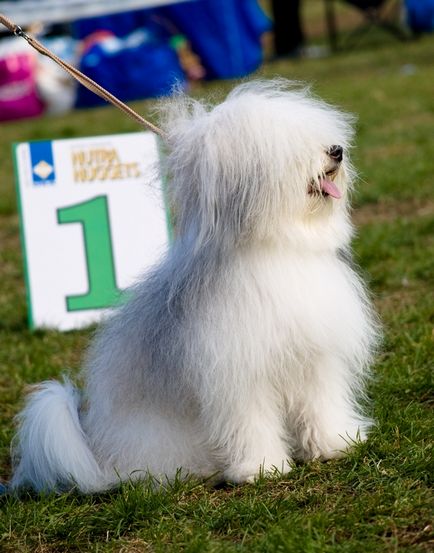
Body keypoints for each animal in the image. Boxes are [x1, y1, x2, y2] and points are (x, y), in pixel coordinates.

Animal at [9, 78, 380, 492]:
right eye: (288, 147)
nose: (337, 151)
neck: (279, 250)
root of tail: (99, 452)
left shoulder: (315, 355)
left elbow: (321, 404)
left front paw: (335, 444)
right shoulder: (236, 371)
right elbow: (250, 422)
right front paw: (262, 467)